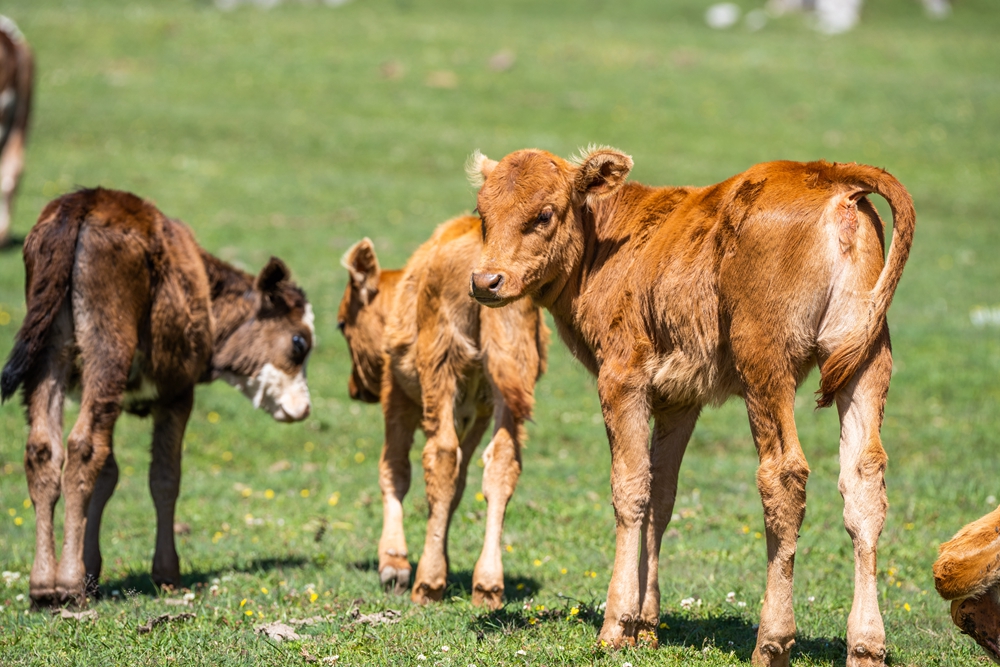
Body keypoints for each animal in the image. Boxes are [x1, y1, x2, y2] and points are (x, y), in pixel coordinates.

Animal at [0, 189, 312, 612]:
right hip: (108, 339)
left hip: (49, 348)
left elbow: (108, 474)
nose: (304, 408)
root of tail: (84, 201)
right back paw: (66, 584)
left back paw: (43, 585)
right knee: (83, 447)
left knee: (45, 449)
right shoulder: (177, 392)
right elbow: (165, 477)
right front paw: (166, 573)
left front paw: (92, 570)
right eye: (299, 343)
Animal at [340, 217, 552, 608]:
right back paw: (487, 584)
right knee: (502, 462)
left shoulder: (397, 399)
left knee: (438, 455)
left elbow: (394, 471)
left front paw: (394, 564)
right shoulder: (478, 411)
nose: (356, 388)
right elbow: (459, 483)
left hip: (440, 367)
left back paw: (427, 583)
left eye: (342, 324)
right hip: (510, 378)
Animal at [468, 147, 916, 667]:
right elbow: (661, 495)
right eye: (483, 213)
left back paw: (772, 641)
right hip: (866, 363)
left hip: (764, 360)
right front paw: (646, 626)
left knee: (783, 476)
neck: (610, 244)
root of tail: (829, 176)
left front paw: (617, 625)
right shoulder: (678, 400)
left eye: (544, 214)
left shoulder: (621, 379)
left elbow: (630, 490)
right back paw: (865, 645)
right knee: (863, 482)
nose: (485, 280)